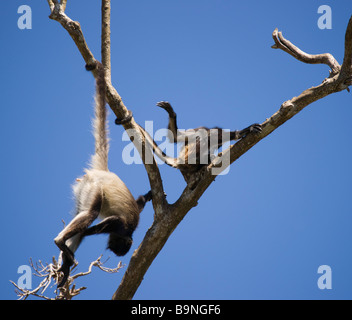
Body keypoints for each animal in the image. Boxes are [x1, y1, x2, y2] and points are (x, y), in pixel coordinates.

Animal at [54, 62, 151, 288]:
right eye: (117, 246)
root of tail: (103, 172)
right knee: (90, 214)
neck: (130, 231)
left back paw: (65, 262)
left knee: (83, 213)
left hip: (83, 190)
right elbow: (91, 228)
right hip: (94, 187)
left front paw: (148, 196)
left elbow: (141, 201)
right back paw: (60, 241)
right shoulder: (120, 224)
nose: (112, 247)